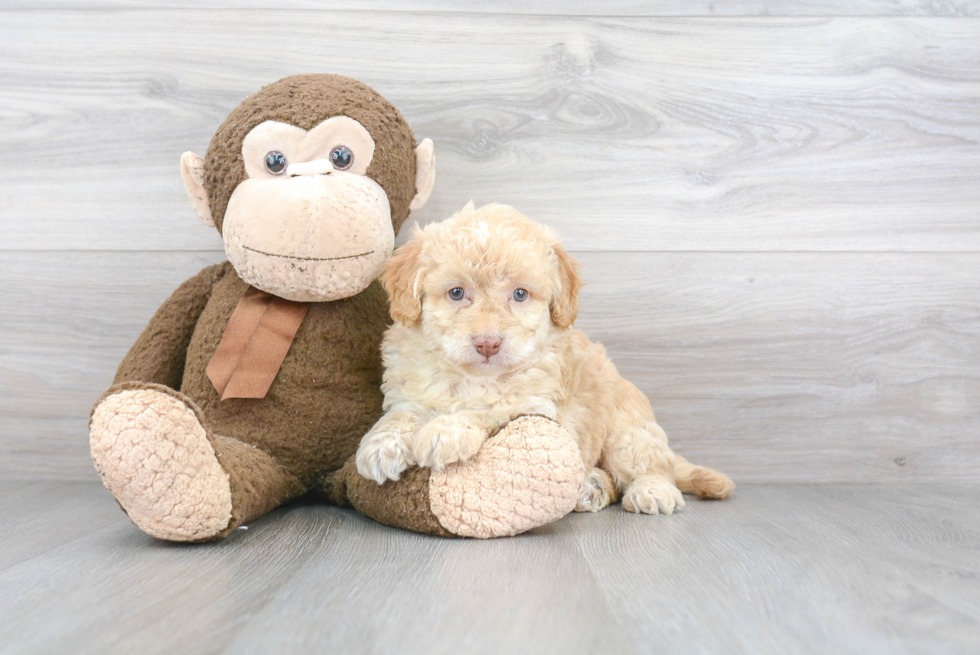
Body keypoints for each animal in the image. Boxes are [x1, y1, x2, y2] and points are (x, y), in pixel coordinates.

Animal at [356, 202, 732, 516]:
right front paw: (381, 443)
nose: (488, 343)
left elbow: (491, 410)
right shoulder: (408, 389)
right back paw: (592, 488)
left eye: (520, 294)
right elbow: (402, 414)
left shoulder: (538, 408)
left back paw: (650, 490)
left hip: (627, 431)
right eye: (457, 293)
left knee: (650, 465)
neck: (475, 377)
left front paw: (447, 430)